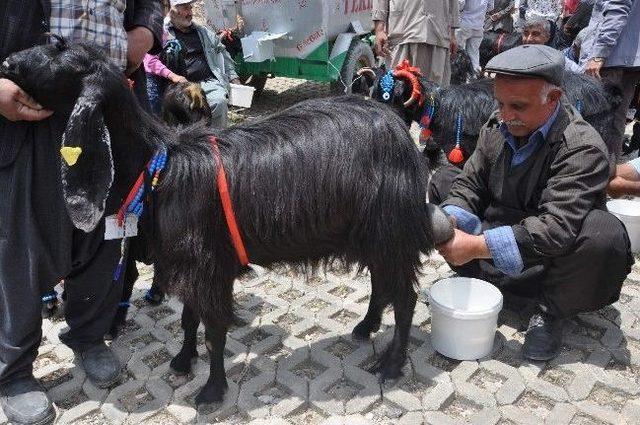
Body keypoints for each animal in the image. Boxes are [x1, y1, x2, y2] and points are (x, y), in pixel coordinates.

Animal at [3, 42, 456, 404]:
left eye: (58, 49)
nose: (7, 62)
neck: (161, 163)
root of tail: (401, 133)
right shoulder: (190, 261)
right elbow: (189, 319)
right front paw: (183, 360)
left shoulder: (209, 264)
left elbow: (214, 330)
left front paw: (211, 389)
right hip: (372, 232)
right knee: (382, 284)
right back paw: (364, 328)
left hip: (389, 227)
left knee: (405, 297)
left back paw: (391, 365)